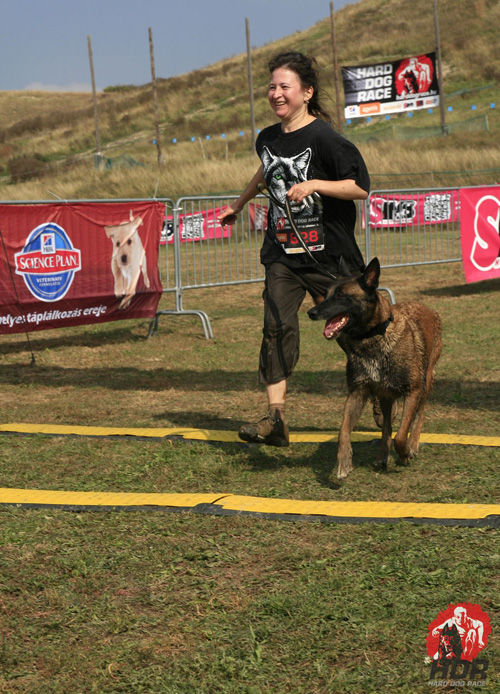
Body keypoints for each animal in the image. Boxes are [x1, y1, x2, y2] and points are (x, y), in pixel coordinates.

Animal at [308, 258, 442, 482]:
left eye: (341, 295)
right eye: (326, 294)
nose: (311, 313)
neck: (372, 336)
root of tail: (429, 309)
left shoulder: (413, 391)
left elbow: (401, 435)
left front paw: (404, 453)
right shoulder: (357, 393)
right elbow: (343, 431)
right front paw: (344, 462)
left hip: (426, 383)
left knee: (419, 416)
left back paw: (412, 445)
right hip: (385, 395)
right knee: (386, 427)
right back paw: (382, 456)